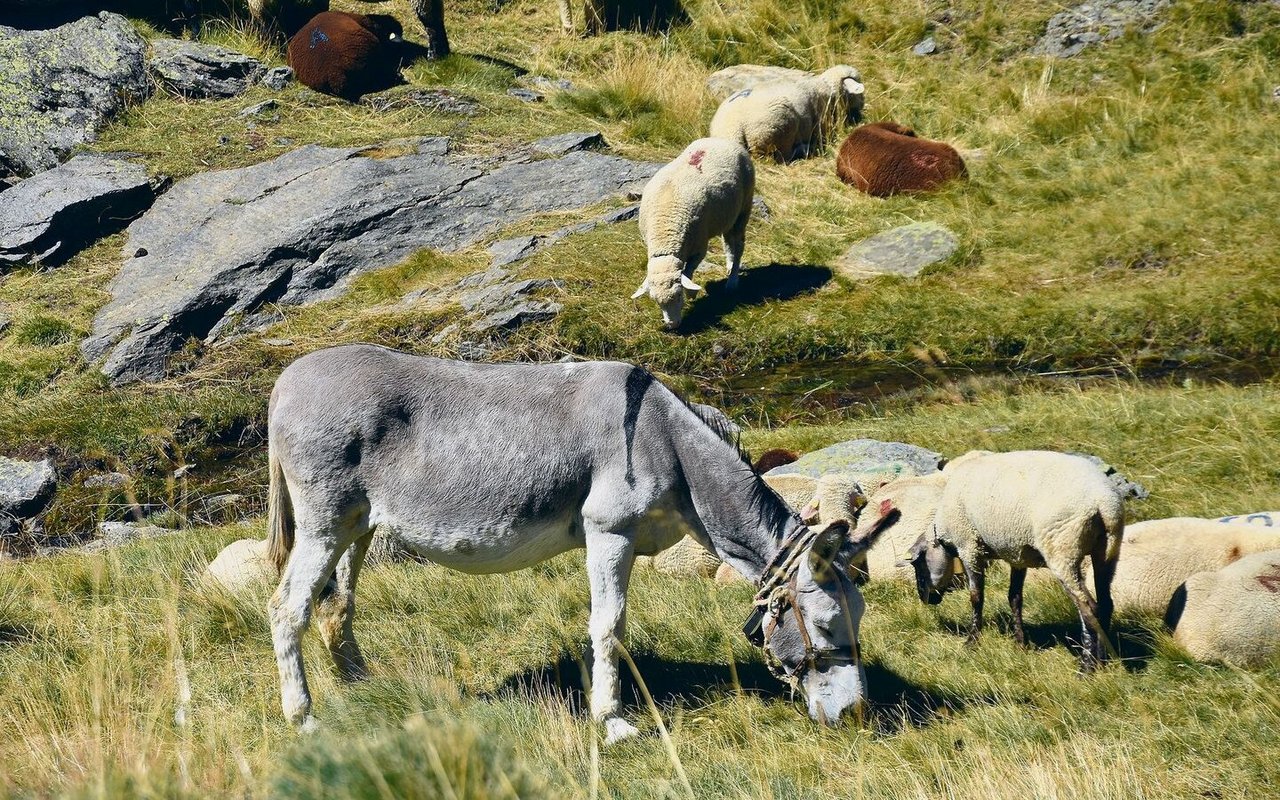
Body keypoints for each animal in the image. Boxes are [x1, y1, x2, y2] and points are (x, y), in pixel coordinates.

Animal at [634, 136, 752, 327]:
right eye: (656, 301)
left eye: (678, 296)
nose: (672, 325)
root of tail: (722, 140)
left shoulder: (699, 247)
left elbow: (688, 272)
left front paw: (691, 293)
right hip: (728, 214)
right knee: (728, 241)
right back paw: (729, 264)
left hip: (744, 208)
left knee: (740, 245)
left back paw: (732, 281)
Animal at [706, 64, 865, 161]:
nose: (862, 105)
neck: (825, 85)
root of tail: (734, 129)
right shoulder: (824, 123)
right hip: (777, 129)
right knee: (782, 157)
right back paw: (804, 149)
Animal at [890, 450, 1131, 665]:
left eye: (918, 566)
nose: (926, 600)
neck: (944, 532)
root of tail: (1103, 502)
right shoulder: (1017, 555)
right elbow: (1014, 598)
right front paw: (1020, 643)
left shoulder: (969, 547)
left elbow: (976, 597)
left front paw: (972, 641)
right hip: (1107, 551)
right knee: (1106, 603)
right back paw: (1103, 658)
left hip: (1063, 550)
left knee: (1089, 607)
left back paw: (1087, 665)